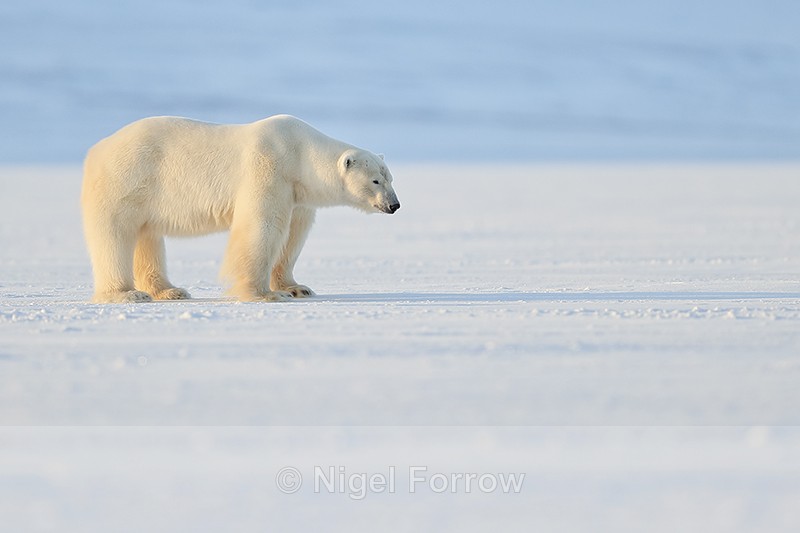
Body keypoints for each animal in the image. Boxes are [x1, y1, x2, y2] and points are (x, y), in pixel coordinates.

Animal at [81, 114, 400, 303]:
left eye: (391, 178)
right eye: (375, 180)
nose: (394, 205)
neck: (299, 152)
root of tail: (96, 149)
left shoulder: (297, 192)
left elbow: (293, 235)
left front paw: (296, 288)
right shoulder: (269, 167)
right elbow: (263, 227)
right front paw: (265, 294)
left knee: (147, 237)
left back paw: (170, 291)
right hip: (127, 180)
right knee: (116, 235)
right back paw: (127, 294)